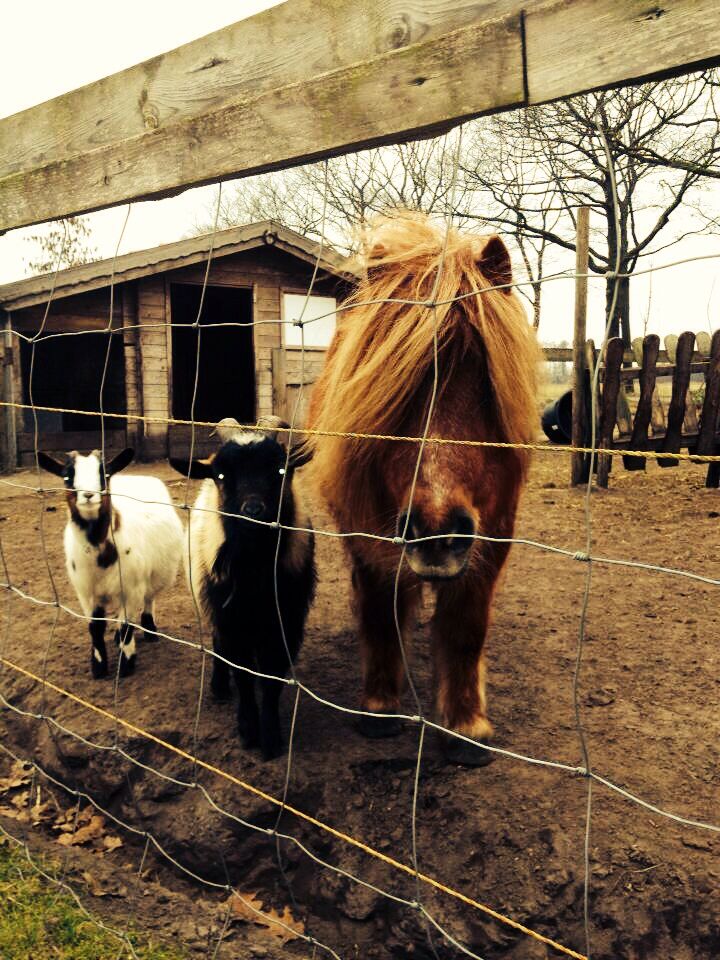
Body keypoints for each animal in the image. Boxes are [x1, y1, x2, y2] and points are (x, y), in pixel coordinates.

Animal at [38, 448, 184, 679]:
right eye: (67, 476)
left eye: (104, 475)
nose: (88, 495)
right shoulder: (87, 593)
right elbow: (96, 627)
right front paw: (98, 666)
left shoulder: (132, 588)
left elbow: (126, 626)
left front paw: (126, 665)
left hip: (159, 573)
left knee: (149, 598)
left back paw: (149, 628)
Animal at [170, 419, 316, 760]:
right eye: (221, 475)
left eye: (281, 469)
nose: (253, 511)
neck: (255, 574)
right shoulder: (231, 617)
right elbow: (243, 672)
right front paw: (249, 730)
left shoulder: (286, 620)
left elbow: (272, 676)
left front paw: (271, 738)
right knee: (219, 644)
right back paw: (219, 687)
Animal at [306, 211, 539, 765]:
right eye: (396, 385)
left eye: (486, 379)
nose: (435, 531)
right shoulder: (368, 540)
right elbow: (379, 614)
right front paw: (379, 709)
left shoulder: (492, 538)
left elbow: (464, 630)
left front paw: (466, 728)